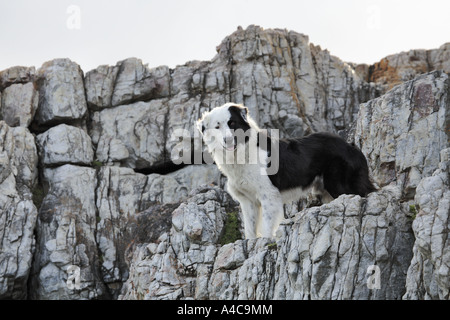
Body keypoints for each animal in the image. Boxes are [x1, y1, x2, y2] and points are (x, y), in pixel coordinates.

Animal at [195, 102, 374, 238]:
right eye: (217, 127)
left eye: (232, 124)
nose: (228, 139)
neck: (242, 153)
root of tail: (350, 146)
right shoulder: (248, 201)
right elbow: (250, 229)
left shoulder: (269, 195)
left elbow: (267, 226)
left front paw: (265, 242)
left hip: (338, 184)